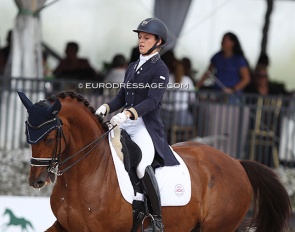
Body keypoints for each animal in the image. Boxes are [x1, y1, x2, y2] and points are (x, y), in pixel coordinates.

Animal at [17, 91, 292, 232]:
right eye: (28, 134)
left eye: (50, 137)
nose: (37, 181)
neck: (88, 172)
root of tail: (237, 163)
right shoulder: (63, 227)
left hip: (218, 227)